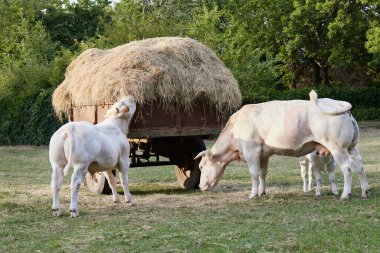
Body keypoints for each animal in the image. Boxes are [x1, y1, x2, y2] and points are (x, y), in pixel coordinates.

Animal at [194, 91, 370, 200]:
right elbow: (263, 174)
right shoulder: (263, 154)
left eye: (201, 166)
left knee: (347, 168)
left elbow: (254, 174)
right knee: (360, 165)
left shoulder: (251, 152)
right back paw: (365, 191)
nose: (200, 186)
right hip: (351, 147)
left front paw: (252, 195)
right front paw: (262, 192)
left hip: (338, 148)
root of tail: (340, 106)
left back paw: (345, 195)